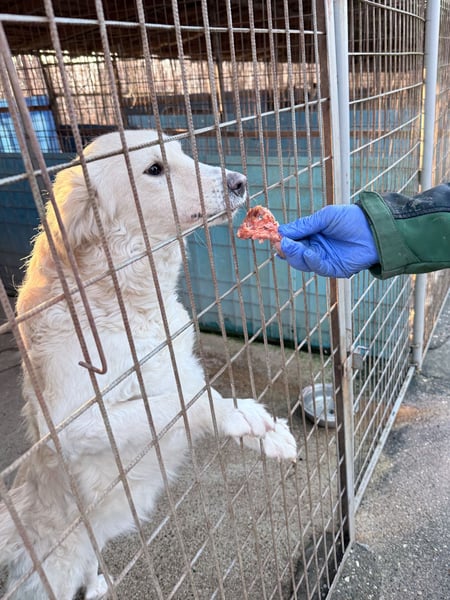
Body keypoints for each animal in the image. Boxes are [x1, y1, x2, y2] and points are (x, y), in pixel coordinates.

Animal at [0, 130, 296, 599]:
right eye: (154, 169)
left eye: (181, 153)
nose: (240, 182)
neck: (128, 299)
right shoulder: (68, 425)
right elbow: (180, 401)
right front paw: (241, 418)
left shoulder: (181, 360)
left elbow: (204, 390)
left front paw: (266, 431)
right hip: (53, 577)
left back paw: (99, 584)